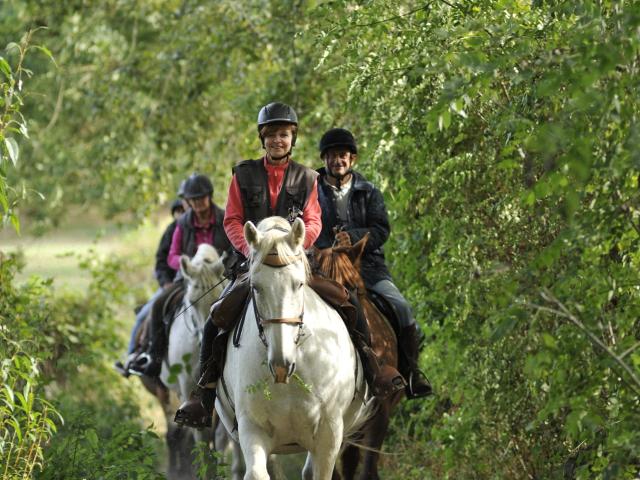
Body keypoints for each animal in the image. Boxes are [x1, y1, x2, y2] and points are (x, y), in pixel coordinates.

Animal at [216, 218, 372, 480]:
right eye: (255, 287)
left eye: (299, 284)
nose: (281, 364)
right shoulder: (251, 427)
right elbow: (257, 473)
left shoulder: (329, 432)